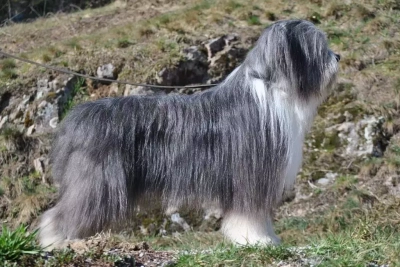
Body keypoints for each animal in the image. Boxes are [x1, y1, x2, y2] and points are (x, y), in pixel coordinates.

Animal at [38, 19, 340, 250]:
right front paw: (258, 240)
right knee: (64, 213)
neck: (271, 88)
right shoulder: (251, 174)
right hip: (97, 182)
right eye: (318, 46)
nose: (338, 57)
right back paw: (55, 241)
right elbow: (251, 214)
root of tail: (78, 117)